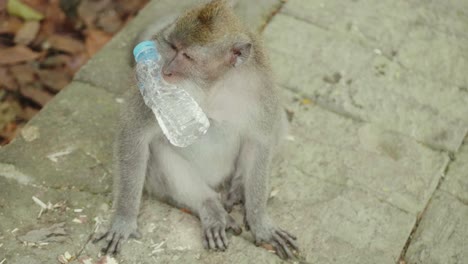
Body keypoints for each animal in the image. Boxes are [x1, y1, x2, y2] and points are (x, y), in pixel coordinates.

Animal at [94, 0, 298, 260]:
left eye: (187, 56)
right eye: (173, 47)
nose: (166, 70)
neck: (213, 85)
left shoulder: (262, 90)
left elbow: (260, 141)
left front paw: (260, 221)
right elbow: (133, 132)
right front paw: (124, 219)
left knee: (278, 122)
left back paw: (239, 185)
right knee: (159, 153)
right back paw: (210, 207)